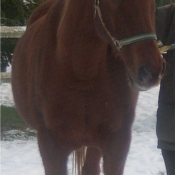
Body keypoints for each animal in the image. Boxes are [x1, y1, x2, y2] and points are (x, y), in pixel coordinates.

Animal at [12, 0, 165, 175]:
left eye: (153, 2)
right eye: (112, 1)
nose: (151, 71)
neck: (82, 72)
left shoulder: (117, 143)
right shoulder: (50, 146)